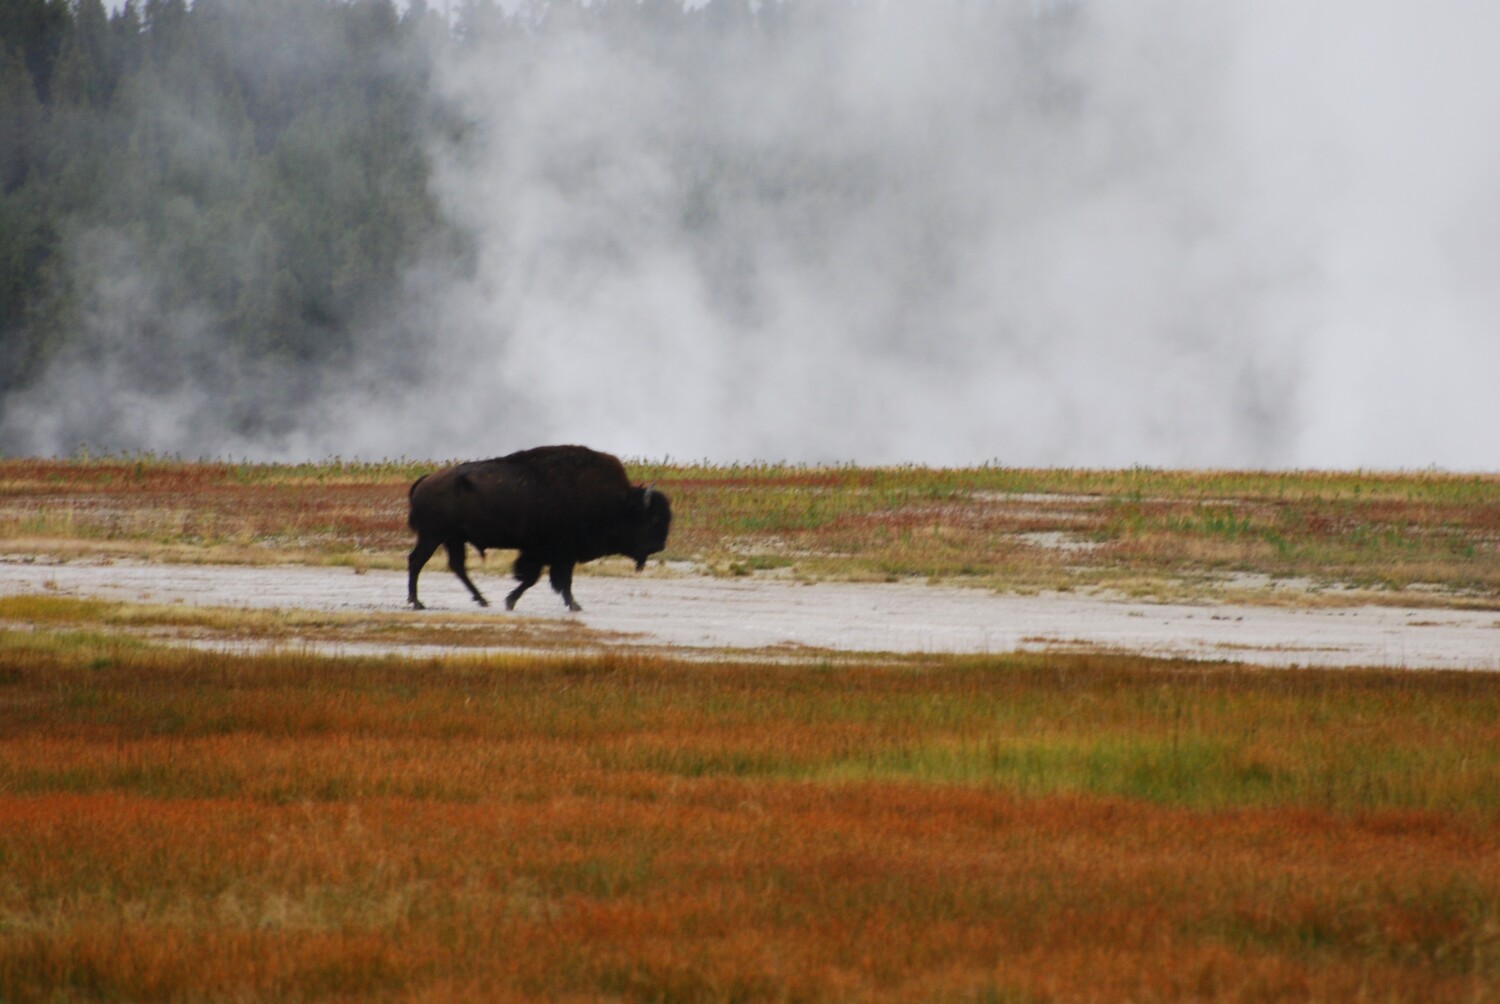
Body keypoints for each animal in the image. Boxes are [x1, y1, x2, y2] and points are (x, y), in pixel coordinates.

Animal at [406, 445, 672, 612]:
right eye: (652, 519)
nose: (659, 545)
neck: (617, 502)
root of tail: (426, 480)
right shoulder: (555, 553)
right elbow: (546, 579)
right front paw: (572, 605)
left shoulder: (555, 555)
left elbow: (548, 579)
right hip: (433, 536)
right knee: (417, 561)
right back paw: (417, 602)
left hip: (453, 538)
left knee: (457, 566)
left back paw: (482, 600)